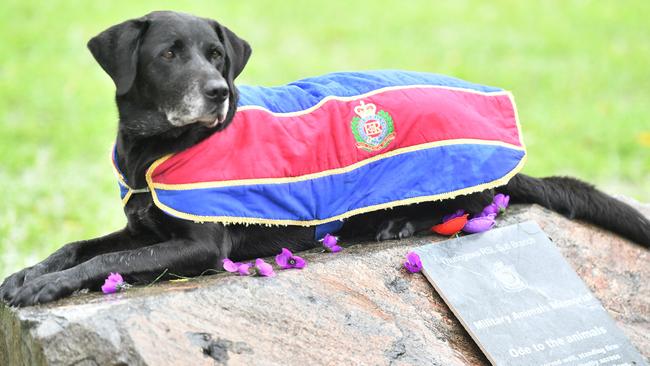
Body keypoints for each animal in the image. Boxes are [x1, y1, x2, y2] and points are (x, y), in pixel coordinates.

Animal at [1, 11, 648, 306]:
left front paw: (45, 287)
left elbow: (100, 262)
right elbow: (78, 247)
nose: (217, 92)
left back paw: (399, 222)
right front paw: (28, 272)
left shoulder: (198, 246)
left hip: (453, 185)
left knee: (482, 201)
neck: (155, 150)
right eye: (168, 54)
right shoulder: (143, 226)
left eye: (217, 55)